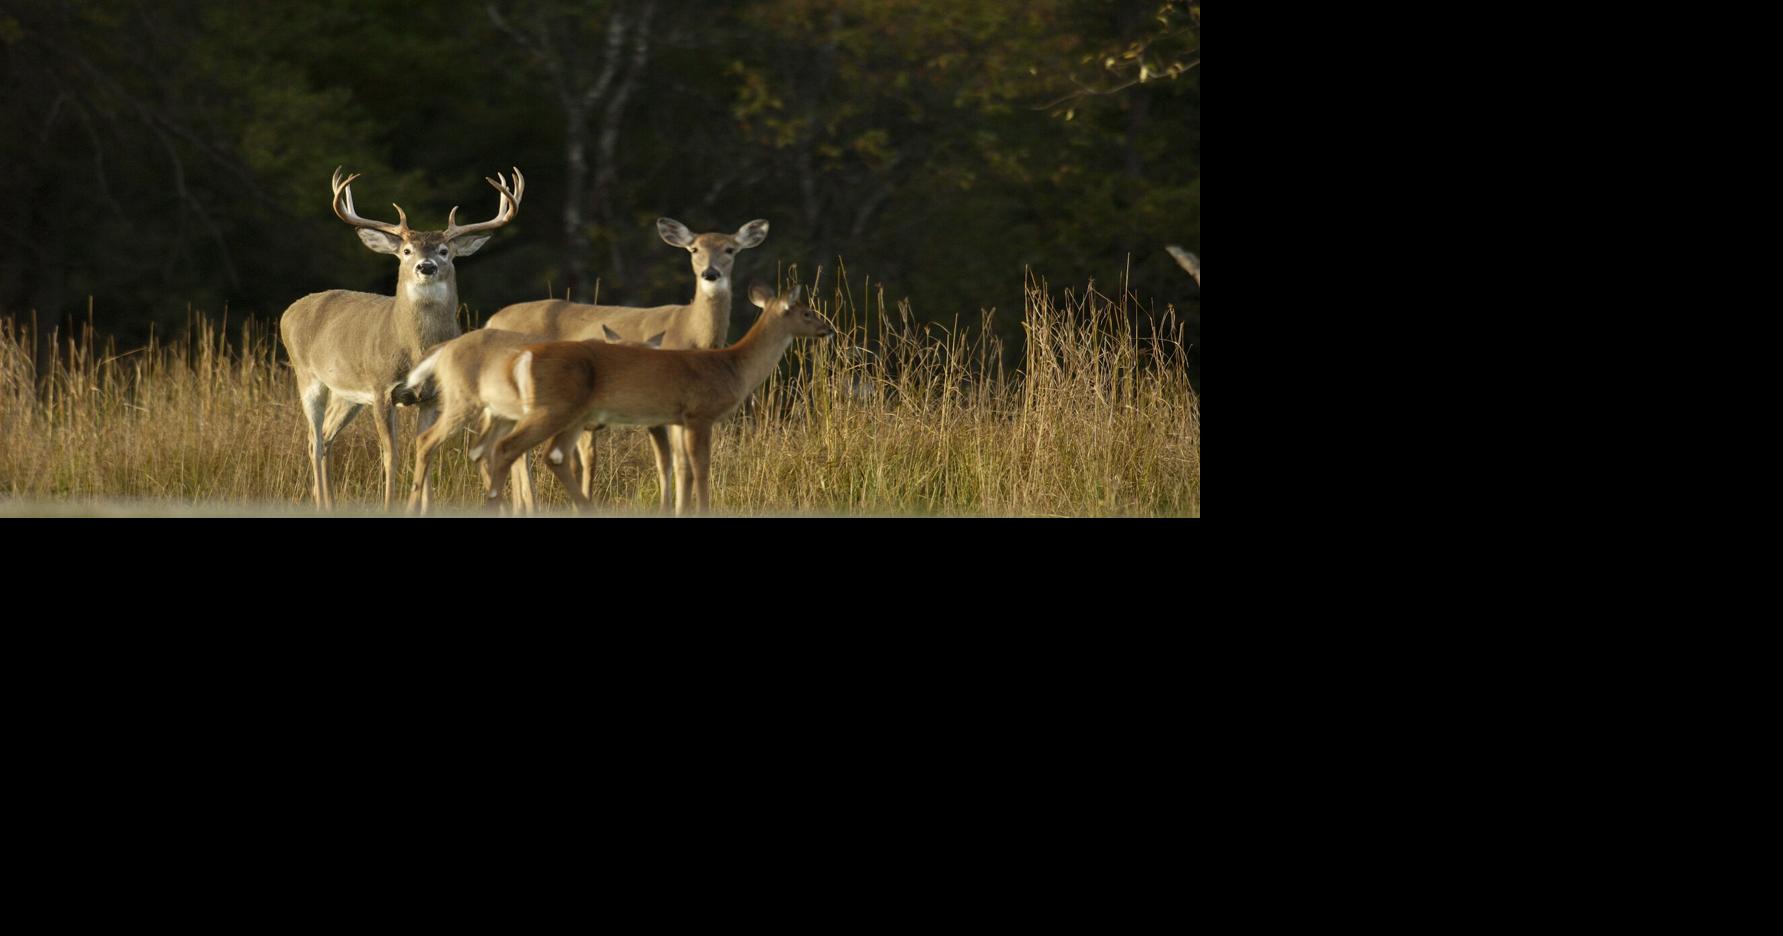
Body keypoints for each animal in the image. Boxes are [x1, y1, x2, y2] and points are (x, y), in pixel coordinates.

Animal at [278, 166, 523, 510]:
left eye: (444, 251)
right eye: (407, 251)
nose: (426, 266)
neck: (416, 349)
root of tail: (289, 311)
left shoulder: (433, 396)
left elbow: (427, 451)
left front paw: (424, 507)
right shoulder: (381, 388)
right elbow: (390, 455)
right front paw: (389, 504)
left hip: (347, 394)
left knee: (326, 436)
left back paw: (328, 500)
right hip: (308, 377)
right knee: (313, 440)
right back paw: (322, 504)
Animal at [406, 281, 831, 516]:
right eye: (807, 312)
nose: (827, 328)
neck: (732, 366)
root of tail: (522, 356)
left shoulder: (676, 419)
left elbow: (680, 467)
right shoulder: (699, 414)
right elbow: (700, 467)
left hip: (556, 414)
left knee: (526, 454)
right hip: (548, 409)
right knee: (503, 449)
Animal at [481, 217, 768, 513]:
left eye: (730, 249)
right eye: (694, 249)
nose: (711, 274)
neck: (690, 330)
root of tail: (492, 320)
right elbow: (670, 460)